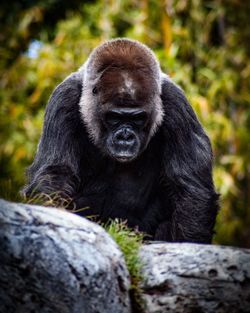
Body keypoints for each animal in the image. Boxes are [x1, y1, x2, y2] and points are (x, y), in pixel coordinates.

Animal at [23, 38, 219, 241]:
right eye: (114, 117)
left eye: (138, 118)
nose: (125, 137)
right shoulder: (64, 98)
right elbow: (55, 174)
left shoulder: (176, 102)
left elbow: (191, 187)